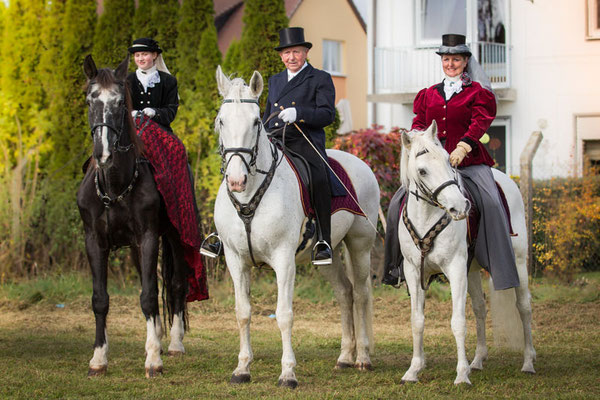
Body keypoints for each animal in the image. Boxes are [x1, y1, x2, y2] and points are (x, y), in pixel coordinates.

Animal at [77, 55, 190, 378]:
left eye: (118, 102)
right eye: (89, 100)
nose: (103, 154)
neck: (116, 184)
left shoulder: (149, 237)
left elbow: (150, 295)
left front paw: (153, 359)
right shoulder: (95, 241)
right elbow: (100, 299)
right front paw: (98, 359)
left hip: (174, 237)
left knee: (176, 285)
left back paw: (173, 343)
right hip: (134, 249)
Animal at [213, 67, 378, 390]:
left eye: (255, 122)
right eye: (221, 120)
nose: (236, 180)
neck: (250, 195)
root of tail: (359, 163)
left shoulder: (283, 259)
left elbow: (285, 315)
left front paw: (288, 373)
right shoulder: (236, 260)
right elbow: (242, 313)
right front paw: (242, 369)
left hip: (360, 245)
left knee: (362, 294)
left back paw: (364, 357)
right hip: (328, 253)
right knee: (345, 293)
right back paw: (345, 356)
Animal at [398, 122, 536, 384]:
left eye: (448, 161)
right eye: (422, 171)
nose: (459, 207)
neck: (427, 216)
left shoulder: (455, 268)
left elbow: (458, 322)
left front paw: (461, 374)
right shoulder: (413, 271)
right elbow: (417, 321)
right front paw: (413, 369)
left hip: (519, 262)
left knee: (523, 307)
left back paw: (528, 361)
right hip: (471, 270)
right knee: (480, 308)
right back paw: (478, 360)